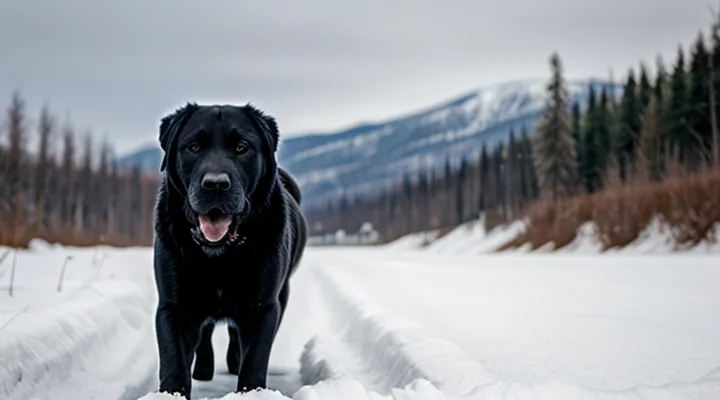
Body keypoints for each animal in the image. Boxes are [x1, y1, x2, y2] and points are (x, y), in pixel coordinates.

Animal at [153, 102, 306, 396]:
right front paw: (173, 391)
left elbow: (254, 360)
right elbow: (173, 361)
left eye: (242, 147)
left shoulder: (263, 307)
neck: (219, 256)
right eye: (194, 147)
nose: (215, 183)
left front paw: (250, 391)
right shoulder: (173, 305)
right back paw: (203, 368)